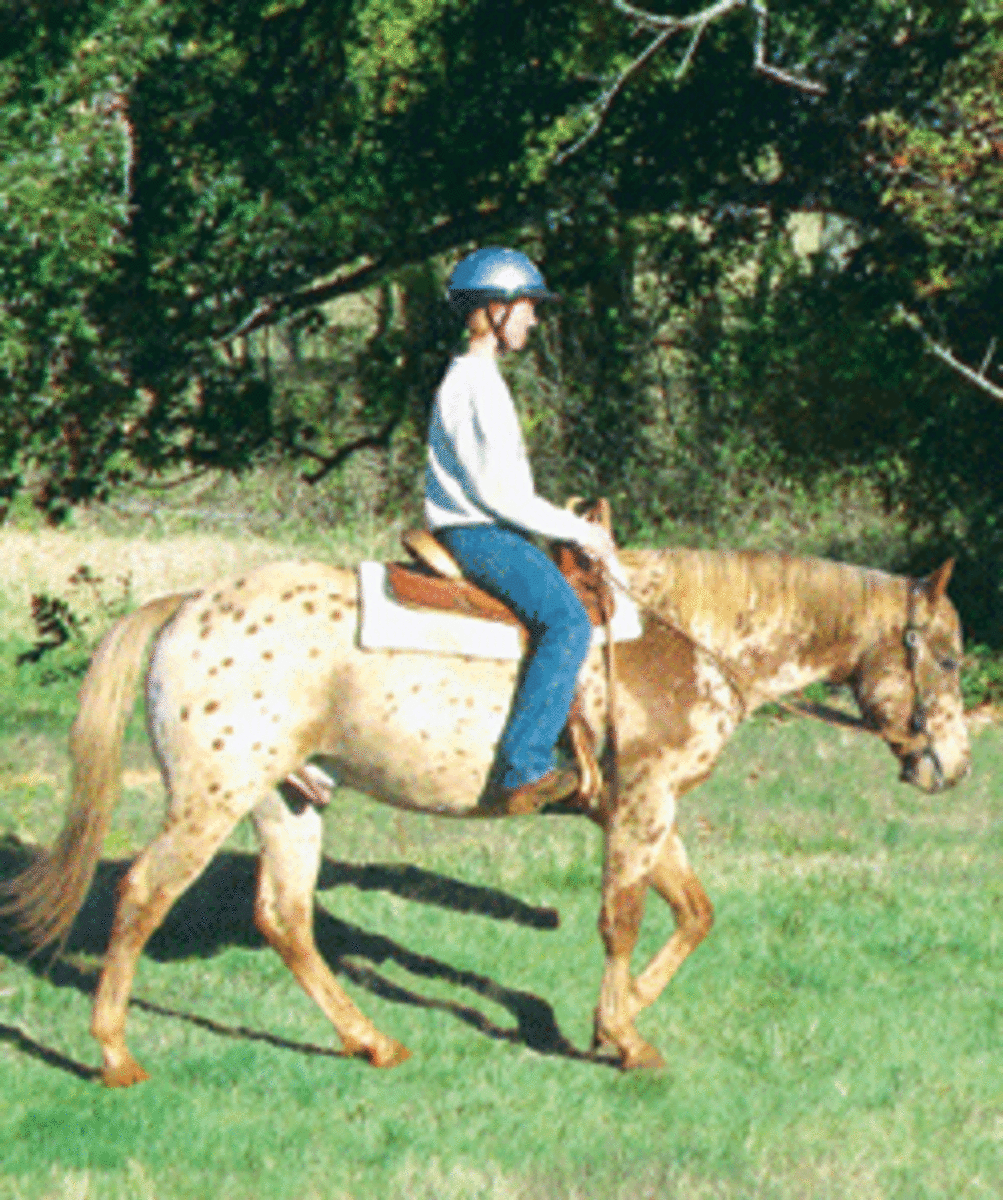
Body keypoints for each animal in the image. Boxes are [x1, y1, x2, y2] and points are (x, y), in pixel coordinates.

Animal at [0, 549, 969, 1084]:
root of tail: (187, 606)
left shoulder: (639, 811)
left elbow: (693, 914)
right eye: (952, 658)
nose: (952, 768)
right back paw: (114, 1057)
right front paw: (622, 1038)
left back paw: (372, 1043)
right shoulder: (643, 803)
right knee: (142, 896)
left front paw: (612, 1020)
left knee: (285, 917)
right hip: (211, 796)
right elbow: (622, 920)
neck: (690, 639)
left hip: (287, 799)